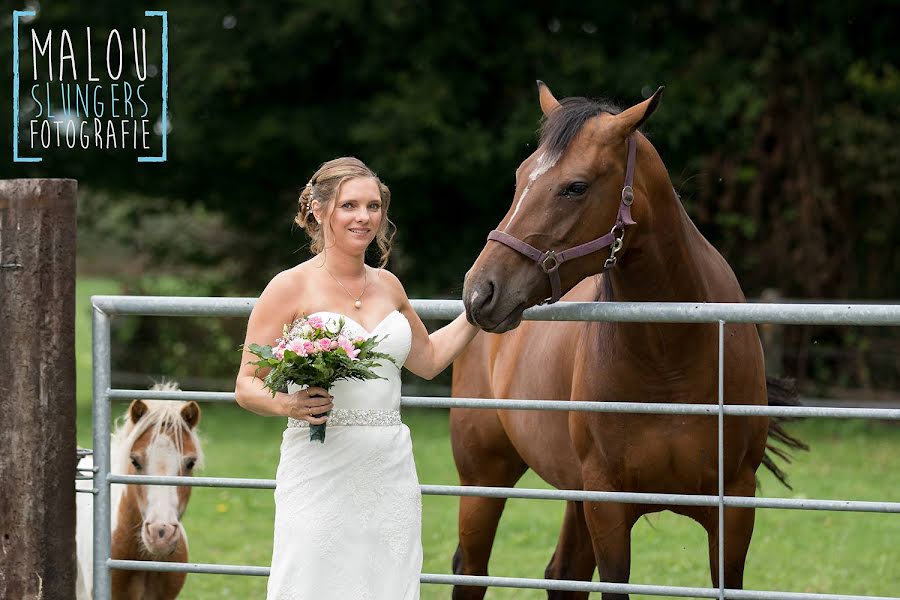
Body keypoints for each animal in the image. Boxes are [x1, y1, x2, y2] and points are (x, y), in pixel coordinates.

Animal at [454, 84, 804, 600]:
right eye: (520, 178)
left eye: (576, 187)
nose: (481, 293)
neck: (670, 360)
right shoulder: (608, 505)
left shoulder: (734, 510)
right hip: (483, 478)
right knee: (471, 570)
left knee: (562, 574)